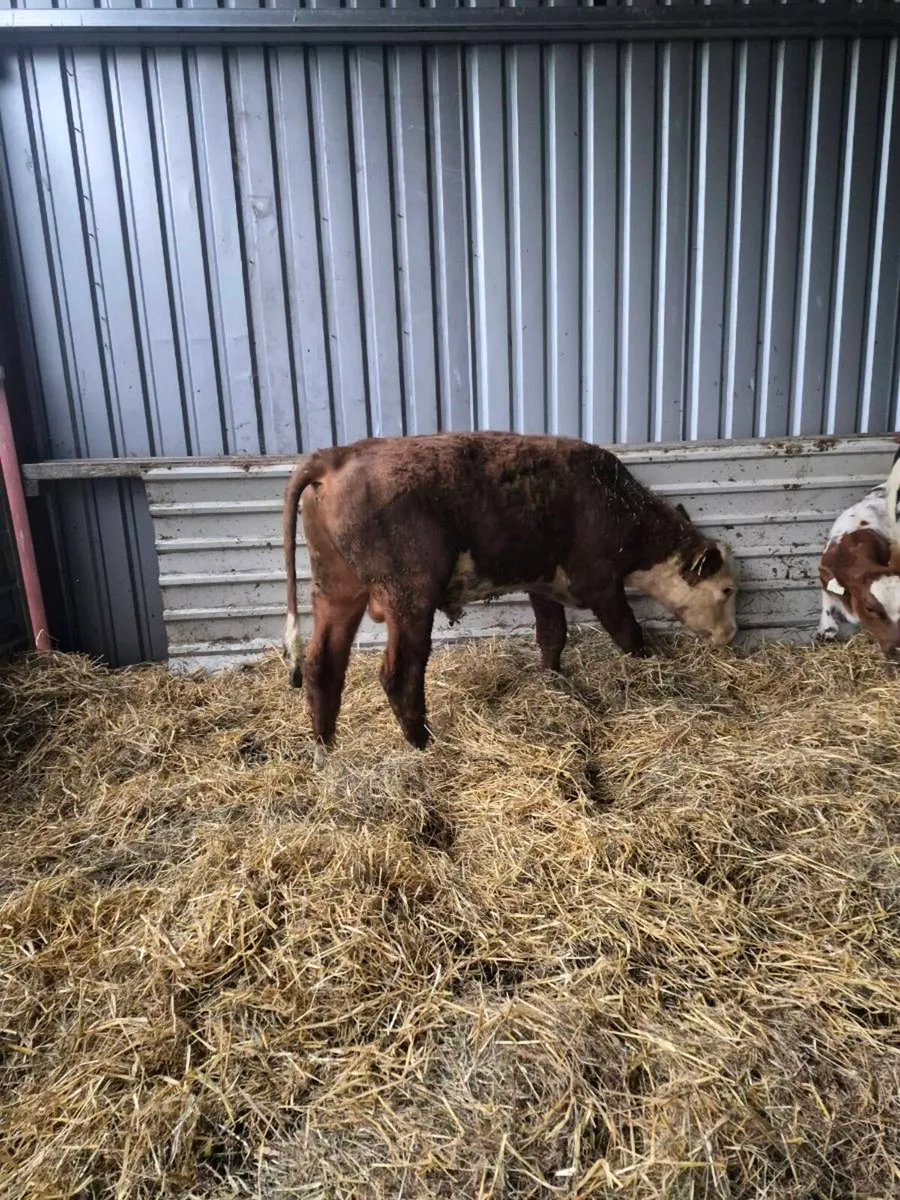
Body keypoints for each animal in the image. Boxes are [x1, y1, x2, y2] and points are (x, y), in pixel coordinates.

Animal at [282, 432, 737, 751]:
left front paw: (553, 680)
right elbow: (629, 633)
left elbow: (552, 636)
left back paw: (326, 748)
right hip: (409, 598)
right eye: (728, 590)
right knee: (399, 675)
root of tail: (335, 457)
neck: (616, 505)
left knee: (322, 665)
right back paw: (423, 745)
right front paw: (648, 669)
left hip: (337, 589)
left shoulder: (544, 584)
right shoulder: (601, 585)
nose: (731, 634)